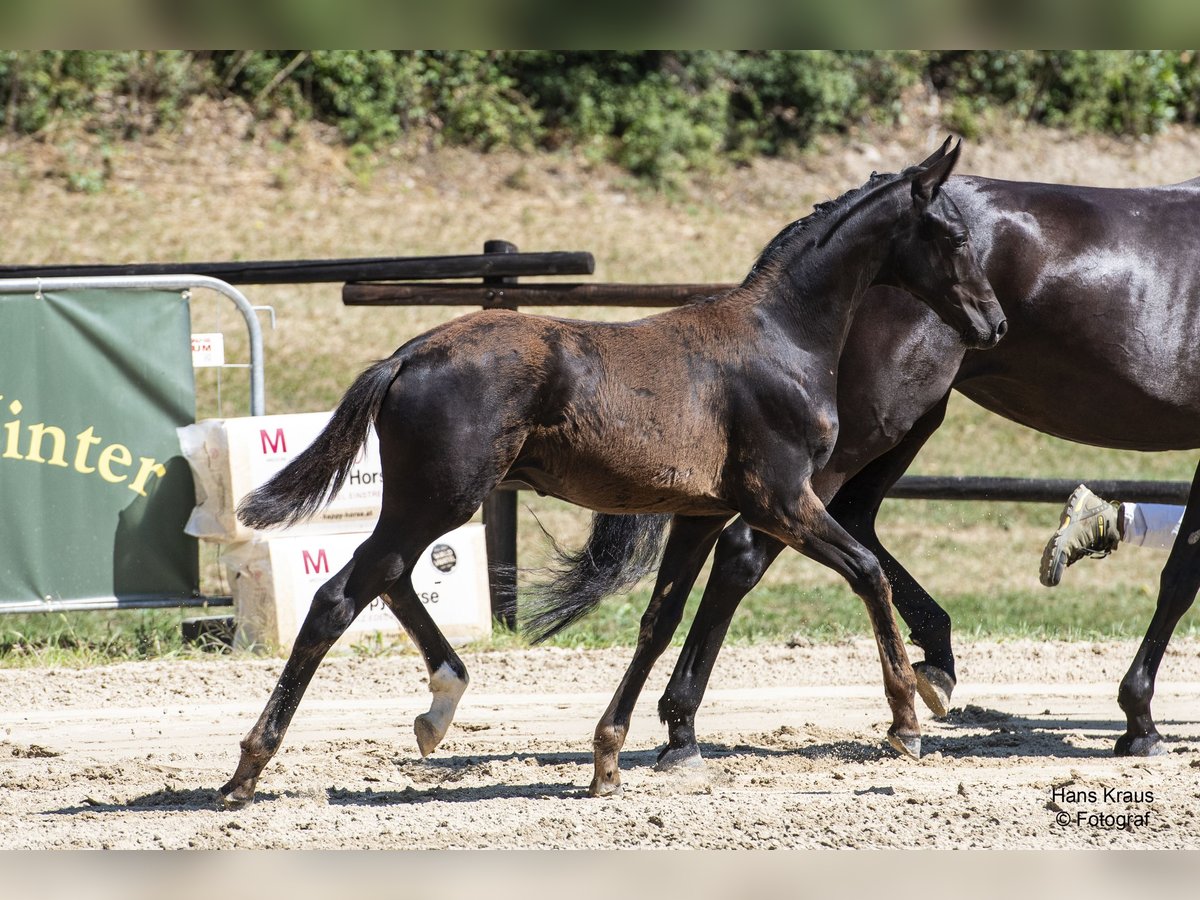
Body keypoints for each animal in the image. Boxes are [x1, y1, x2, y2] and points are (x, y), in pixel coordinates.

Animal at [218, 142, 1003, 811]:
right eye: (954, 236)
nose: (992, 324)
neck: (781, 339)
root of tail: (407, 354)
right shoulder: (781, 499)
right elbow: (868, 571)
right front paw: (907, 719)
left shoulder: (701, 512)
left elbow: (658, 621)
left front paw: (609, 756)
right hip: (443, 495)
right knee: (341, 595)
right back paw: (246, 771)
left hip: (430, 499)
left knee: (388, 577)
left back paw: (437, 707)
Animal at [554, 162, 1200, 796]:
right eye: (955, 243)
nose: (995, 322)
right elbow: (1181, 575)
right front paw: (1140, 721)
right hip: (877, 423)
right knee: (752, 548)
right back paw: (687, 728)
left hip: (905, 423)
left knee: (846, 527)